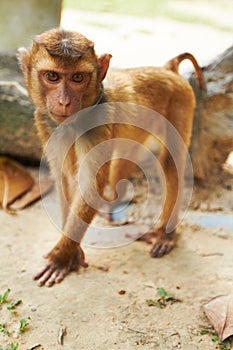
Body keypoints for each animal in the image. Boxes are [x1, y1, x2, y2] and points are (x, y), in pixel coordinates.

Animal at [18, 28, 203, 288]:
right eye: (52, 76)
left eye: (78, 78)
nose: (64, 101)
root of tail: (168, 70)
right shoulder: (46, 124)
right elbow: (66, 179)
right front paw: (72, 252)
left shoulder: (98, 126)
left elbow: (90, 184)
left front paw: (61, 257)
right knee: (124, 156)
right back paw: (110, 206)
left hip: (183, 103)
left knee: (170, 161)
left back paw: (165, 234)